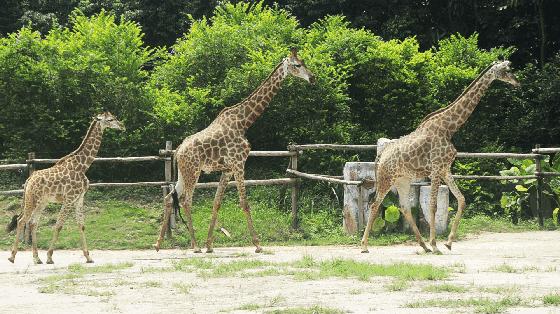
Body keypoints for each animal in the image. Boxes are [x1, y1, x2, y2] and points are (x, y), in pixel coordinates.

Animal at [7, 111, 124, 264]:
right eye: (110, 119)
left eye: (114, 117)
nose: (122, 126)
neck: (83, 166)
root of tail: (28, 180)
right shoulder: (69, 198)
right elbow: (59, 225)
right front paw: (49, 256)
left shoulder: (79, 198)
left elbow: (81, 225)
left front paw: (88, 257)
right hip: (32, 200)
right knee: (22, 221)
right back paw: (12, 257)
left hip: (42, 202)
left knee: (33, 222)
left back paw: (37, 258)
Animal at [155, 47, 316, 253]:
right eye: (297, 65)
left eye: (304, 62)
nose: (312, 78)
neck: (244, 122)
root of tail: (176, 152)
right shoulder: (239, 164)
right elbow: (244, 203)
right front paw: (257, 244)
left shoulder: (228, 169)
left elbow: (216, 203)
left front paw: (210, 245)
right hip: (193, 171)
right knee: (185, 200)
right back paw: (194, 245)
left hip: (184, 173)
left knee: (169, 197)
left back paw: (158, 244)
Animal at [360, 60, 520, 254]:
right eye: (507, 70)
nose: (518, 82)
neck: (449, 129)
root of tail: (380, 156)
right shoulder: (436, 169)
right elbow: (433, 205)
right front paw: (436, 245)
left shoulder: (445, 169)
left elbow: (461, 200)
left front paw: (448, 242)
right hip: (386, 179)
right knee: (375, 205)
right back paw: (364, 246)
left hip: (402, 180)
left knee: (404, 207)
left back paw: (423, 246)